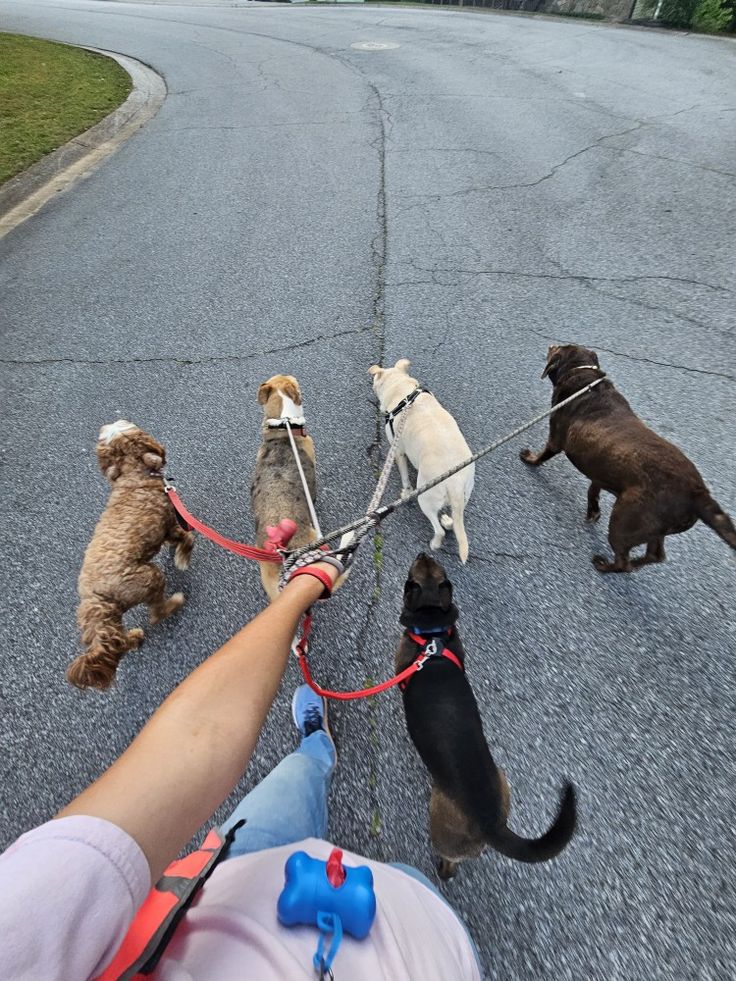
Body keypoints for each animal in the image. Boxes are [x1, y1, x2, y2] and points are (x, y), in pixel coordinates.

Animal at [67, 422, 194, 688]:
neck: (133, 476)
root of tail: (94, 600)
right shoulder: (169, 522)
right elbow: (187, 538)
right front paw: (182, 558)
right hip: (147, 578)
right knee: (156, 614)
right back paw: (175, 602)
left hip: (115, 617)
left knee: (120, 642)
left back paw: (135, 638)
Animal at [368, 360, 478, 564]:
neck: (402, 389)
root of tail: (454, 482)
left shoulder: (398, 450)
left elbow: (404, 476)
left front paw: (405, 492)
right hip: (466, 492)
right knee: (453, 518)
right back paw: (448, 520)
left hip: (426, 497)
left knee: (439, 530)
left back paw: (435, 543)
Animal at [396, 552, 576, 880]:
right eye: (435, 569)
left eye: (412, 576)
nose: (424, 553)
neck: (433, 635)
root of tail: (492, 824)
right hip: (504, 780)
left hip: (439, 824)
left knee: (448, 864)